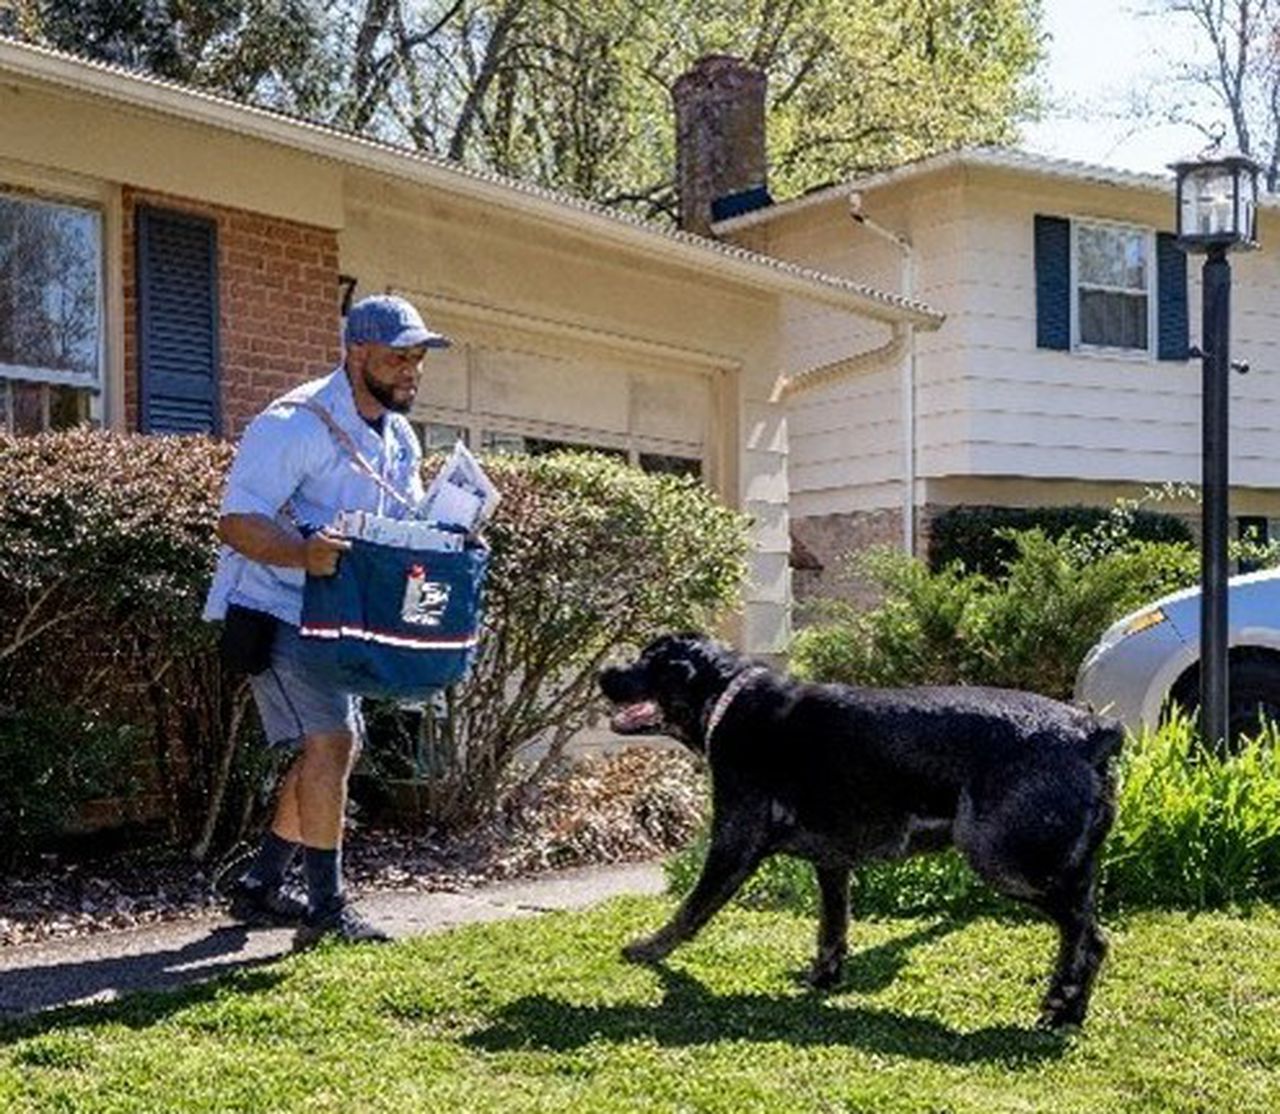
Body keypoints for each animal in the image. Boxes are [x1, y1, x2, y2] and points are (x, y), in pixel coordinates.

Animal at [593, 637, 1116, 1029]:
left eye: (648, 661)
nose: (601, 672)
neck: (727, 697)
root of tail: (1092, 731)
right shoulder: (832, 863)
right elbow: (832, 927)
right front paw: (824, 978)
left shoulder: (733, 845)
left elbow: (690, 910)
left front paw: (649, 949)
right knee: (1084, 933)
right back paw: (1070, 1011)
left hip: (1007, 862)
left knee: (1088, 937)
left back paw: (1060, 1008)